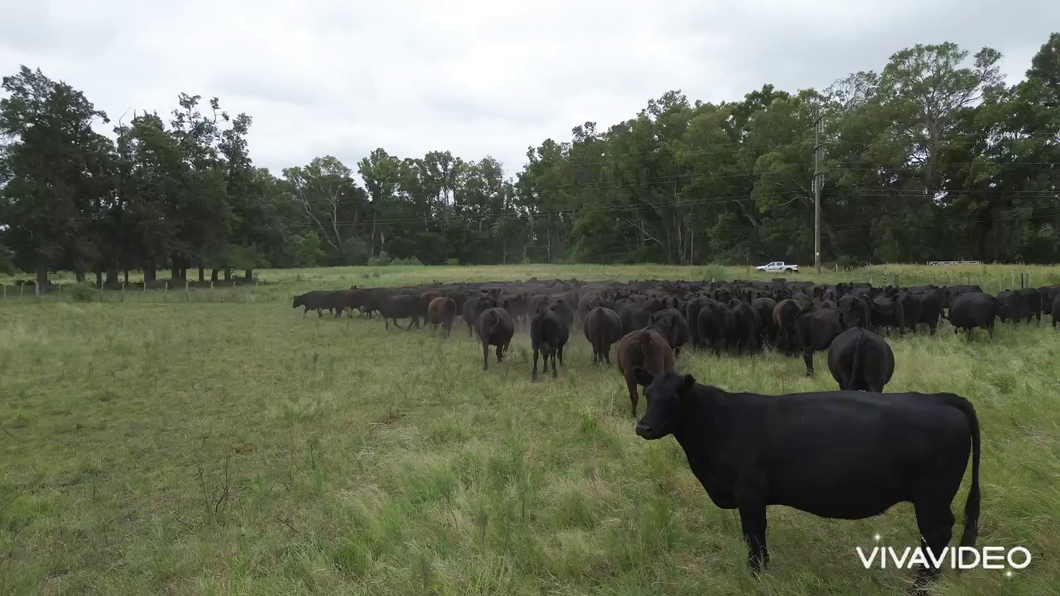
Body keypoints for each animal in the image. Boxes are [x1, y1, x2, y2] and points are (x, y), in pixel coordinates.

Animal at [632, 369, 981, 592]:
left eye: (674, 398)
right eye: (648, 394)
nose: (643, 427)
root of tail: (940, 398)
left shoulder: (750, 493)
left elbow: (754, 536)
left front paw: (756, 576)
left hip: (932, 496)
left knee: (936, 534)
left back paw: (920, 586)